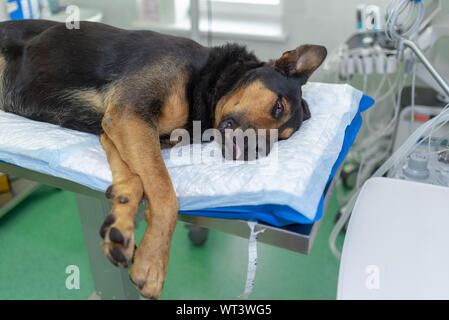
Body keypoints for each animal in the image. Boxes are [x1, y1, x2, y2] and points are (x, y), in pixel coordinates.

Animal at [0, 20, 326, 298]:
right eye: (278, 106)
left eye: (283, 137)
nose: (257, 153)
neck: (205, 80)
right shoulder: (129, 115)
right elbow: (166, 195)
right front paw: (152, 262)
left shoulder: (119, 128)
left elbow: (133, 180)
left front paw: (121, 219)